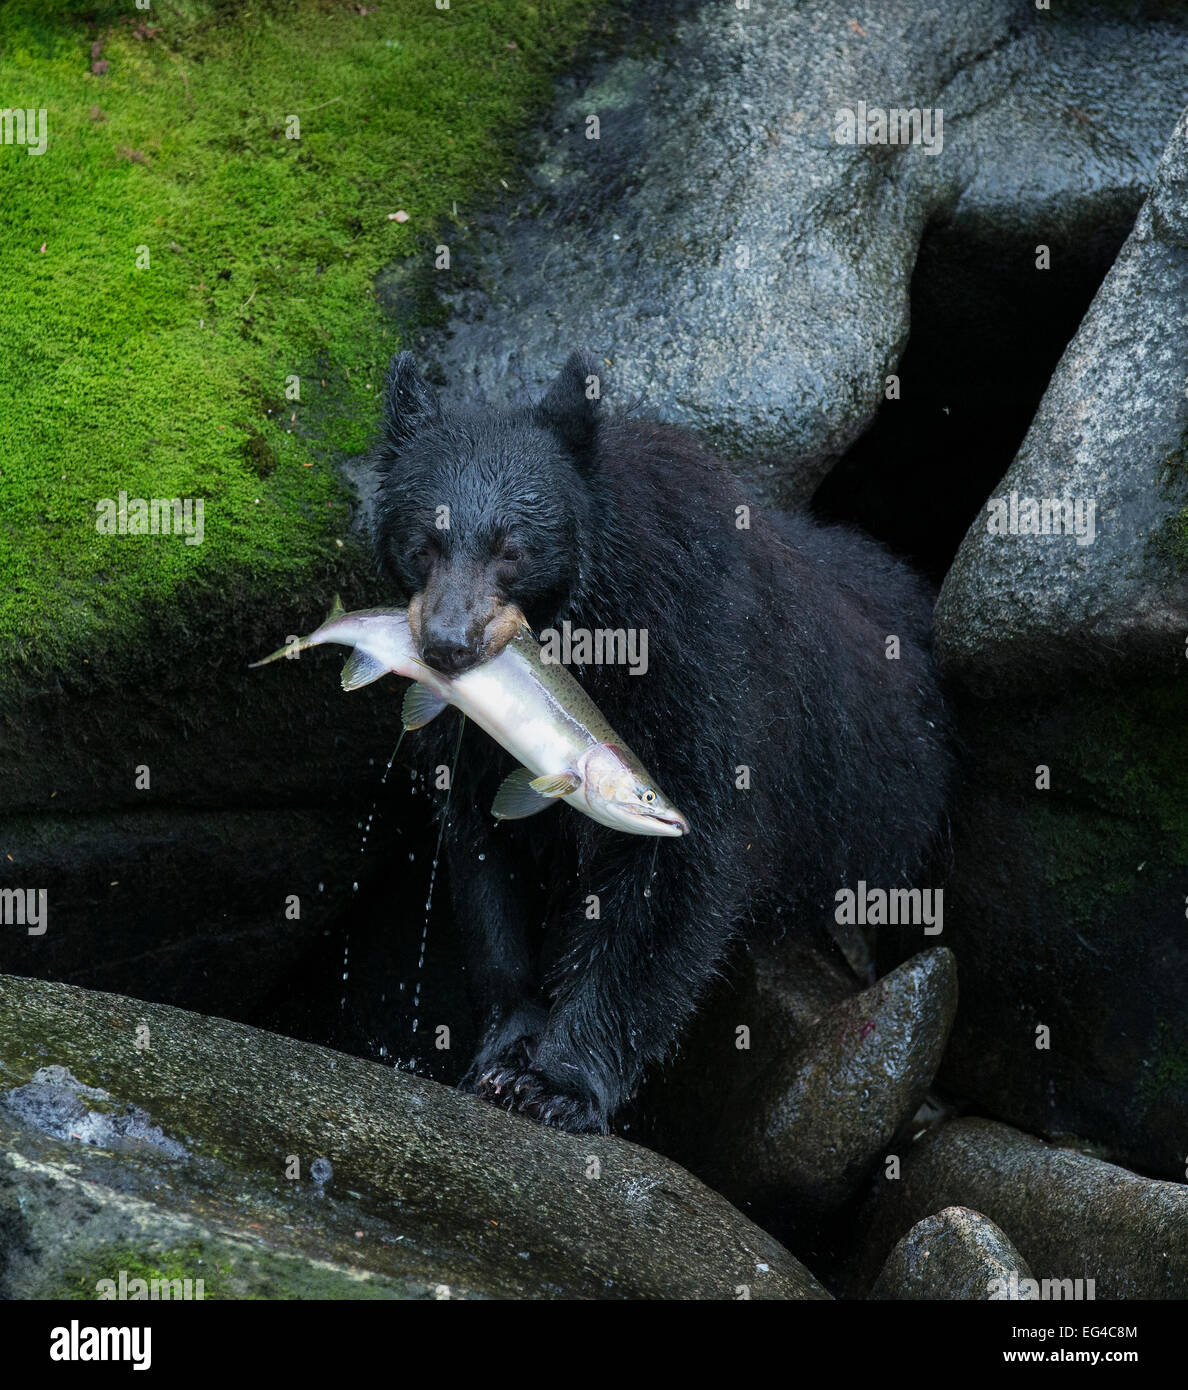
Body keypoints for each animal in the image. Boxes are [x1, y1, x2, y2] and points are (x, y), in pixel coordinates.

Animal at [375, 347, 950, 1128]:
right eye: (422, 545)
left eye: (512, 550)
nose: (448, 646)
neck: (586, 637)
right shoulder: (477, 738)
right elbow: (487, 856)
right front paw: (504, 1049)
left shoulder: (694, 667)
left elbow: (676, 868)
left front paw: (558, 1083)